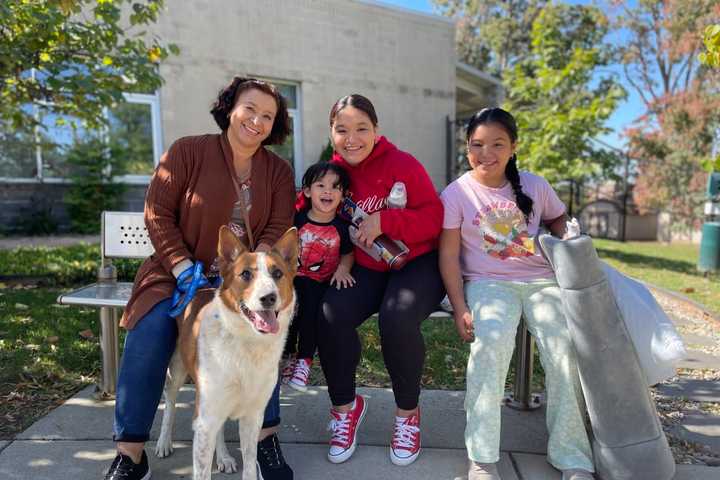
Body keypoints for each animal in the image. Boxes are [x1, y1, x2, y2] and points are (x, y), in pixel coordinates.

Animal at [155, 226, 298, 480]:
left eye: (277, 273)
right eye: (246, 274)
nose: (269, 298)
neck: (248, 343)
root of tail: (196, 288)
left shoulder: (253, 417)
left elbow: (250, 466)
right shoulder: (205, 421)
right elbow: (202, 471)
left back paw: (223, 457)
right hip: (178, 371)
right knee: (170, 403)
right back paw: (164, 442)